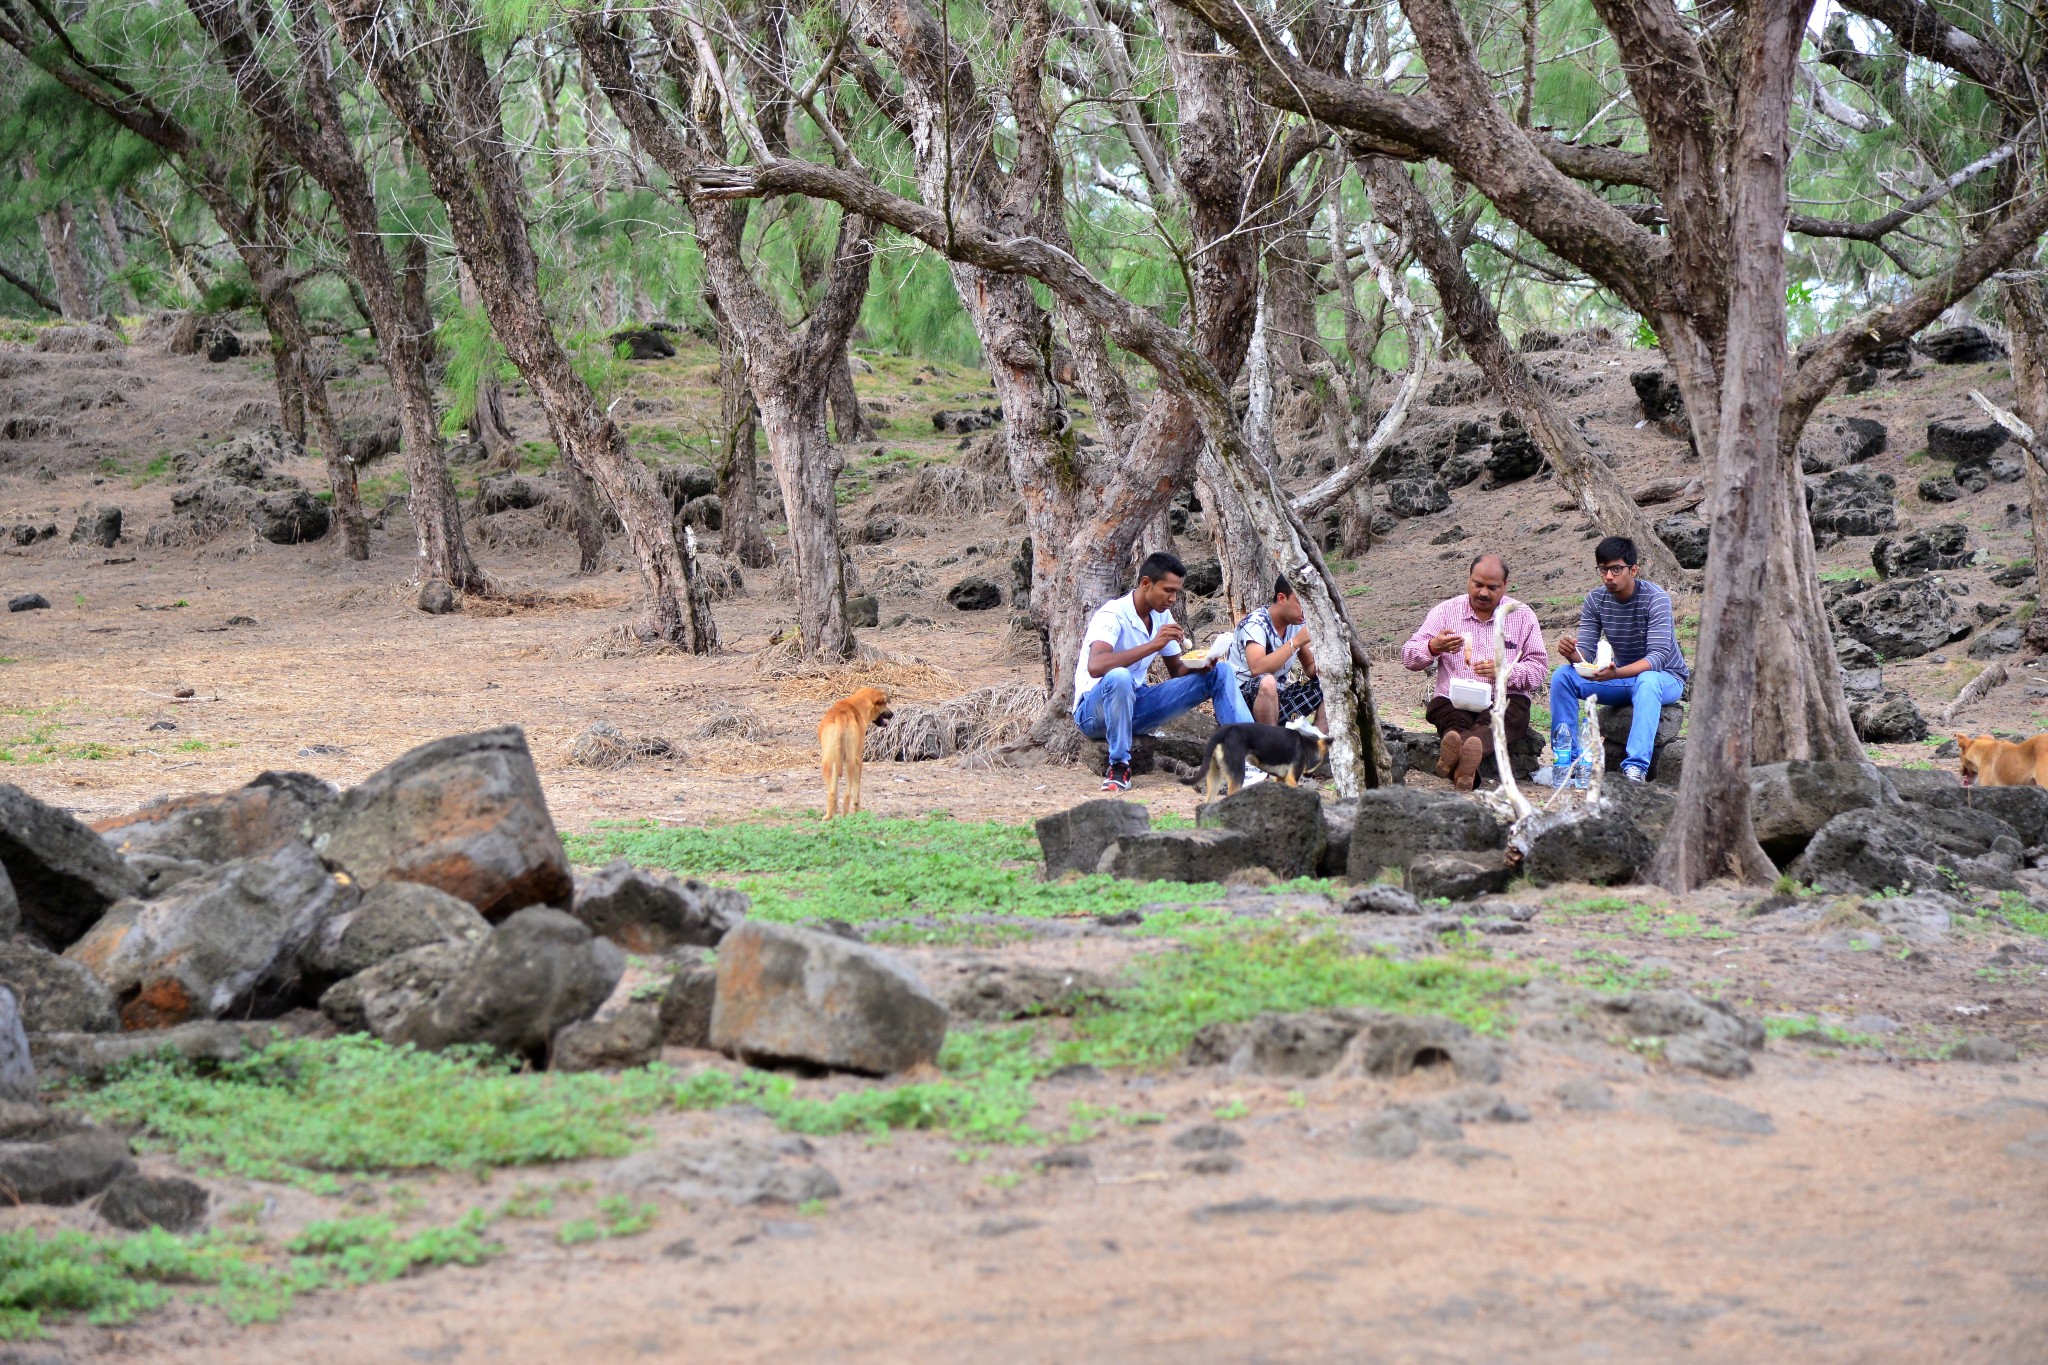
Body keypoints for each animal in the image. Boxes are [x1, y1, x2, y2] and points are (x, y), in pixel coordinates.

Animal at [815, 687, 888, 818]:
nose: (892, 714)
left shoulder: (836, 763)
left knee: (832, 792)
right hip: (852, 762)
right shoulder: (859, 760)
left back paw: (829, 816)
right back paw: (845, 815)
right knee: (848, 793)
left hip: (828, 763)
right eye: (885, 704)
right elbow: (857, 793)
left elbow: (835, 789)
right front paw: (857, 811)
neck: (855, 706)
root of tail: (841, 716)